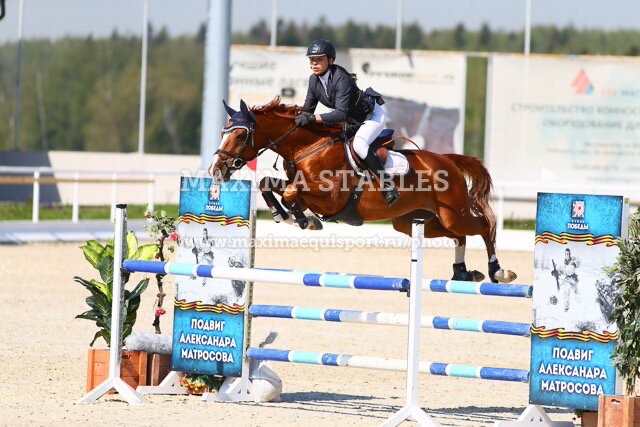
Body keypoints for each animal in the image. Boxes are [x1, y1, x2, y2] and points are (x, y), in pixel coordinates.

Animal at [209, 98, 516, 284]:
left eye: (239, 134)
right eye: (223, 132)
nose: (215, 170)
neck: (308, 147)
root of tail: (447, 160)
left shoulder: (329, 198)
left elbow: (291, 193)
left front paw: (303, 219)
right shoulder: (304, 188)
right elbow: (268, 184)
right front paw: (284, 216)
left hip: (453, 213)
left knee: (483, 227)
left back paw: (498, 271)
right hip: (416, 221)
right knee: (459, 236)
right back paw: (463, 273)